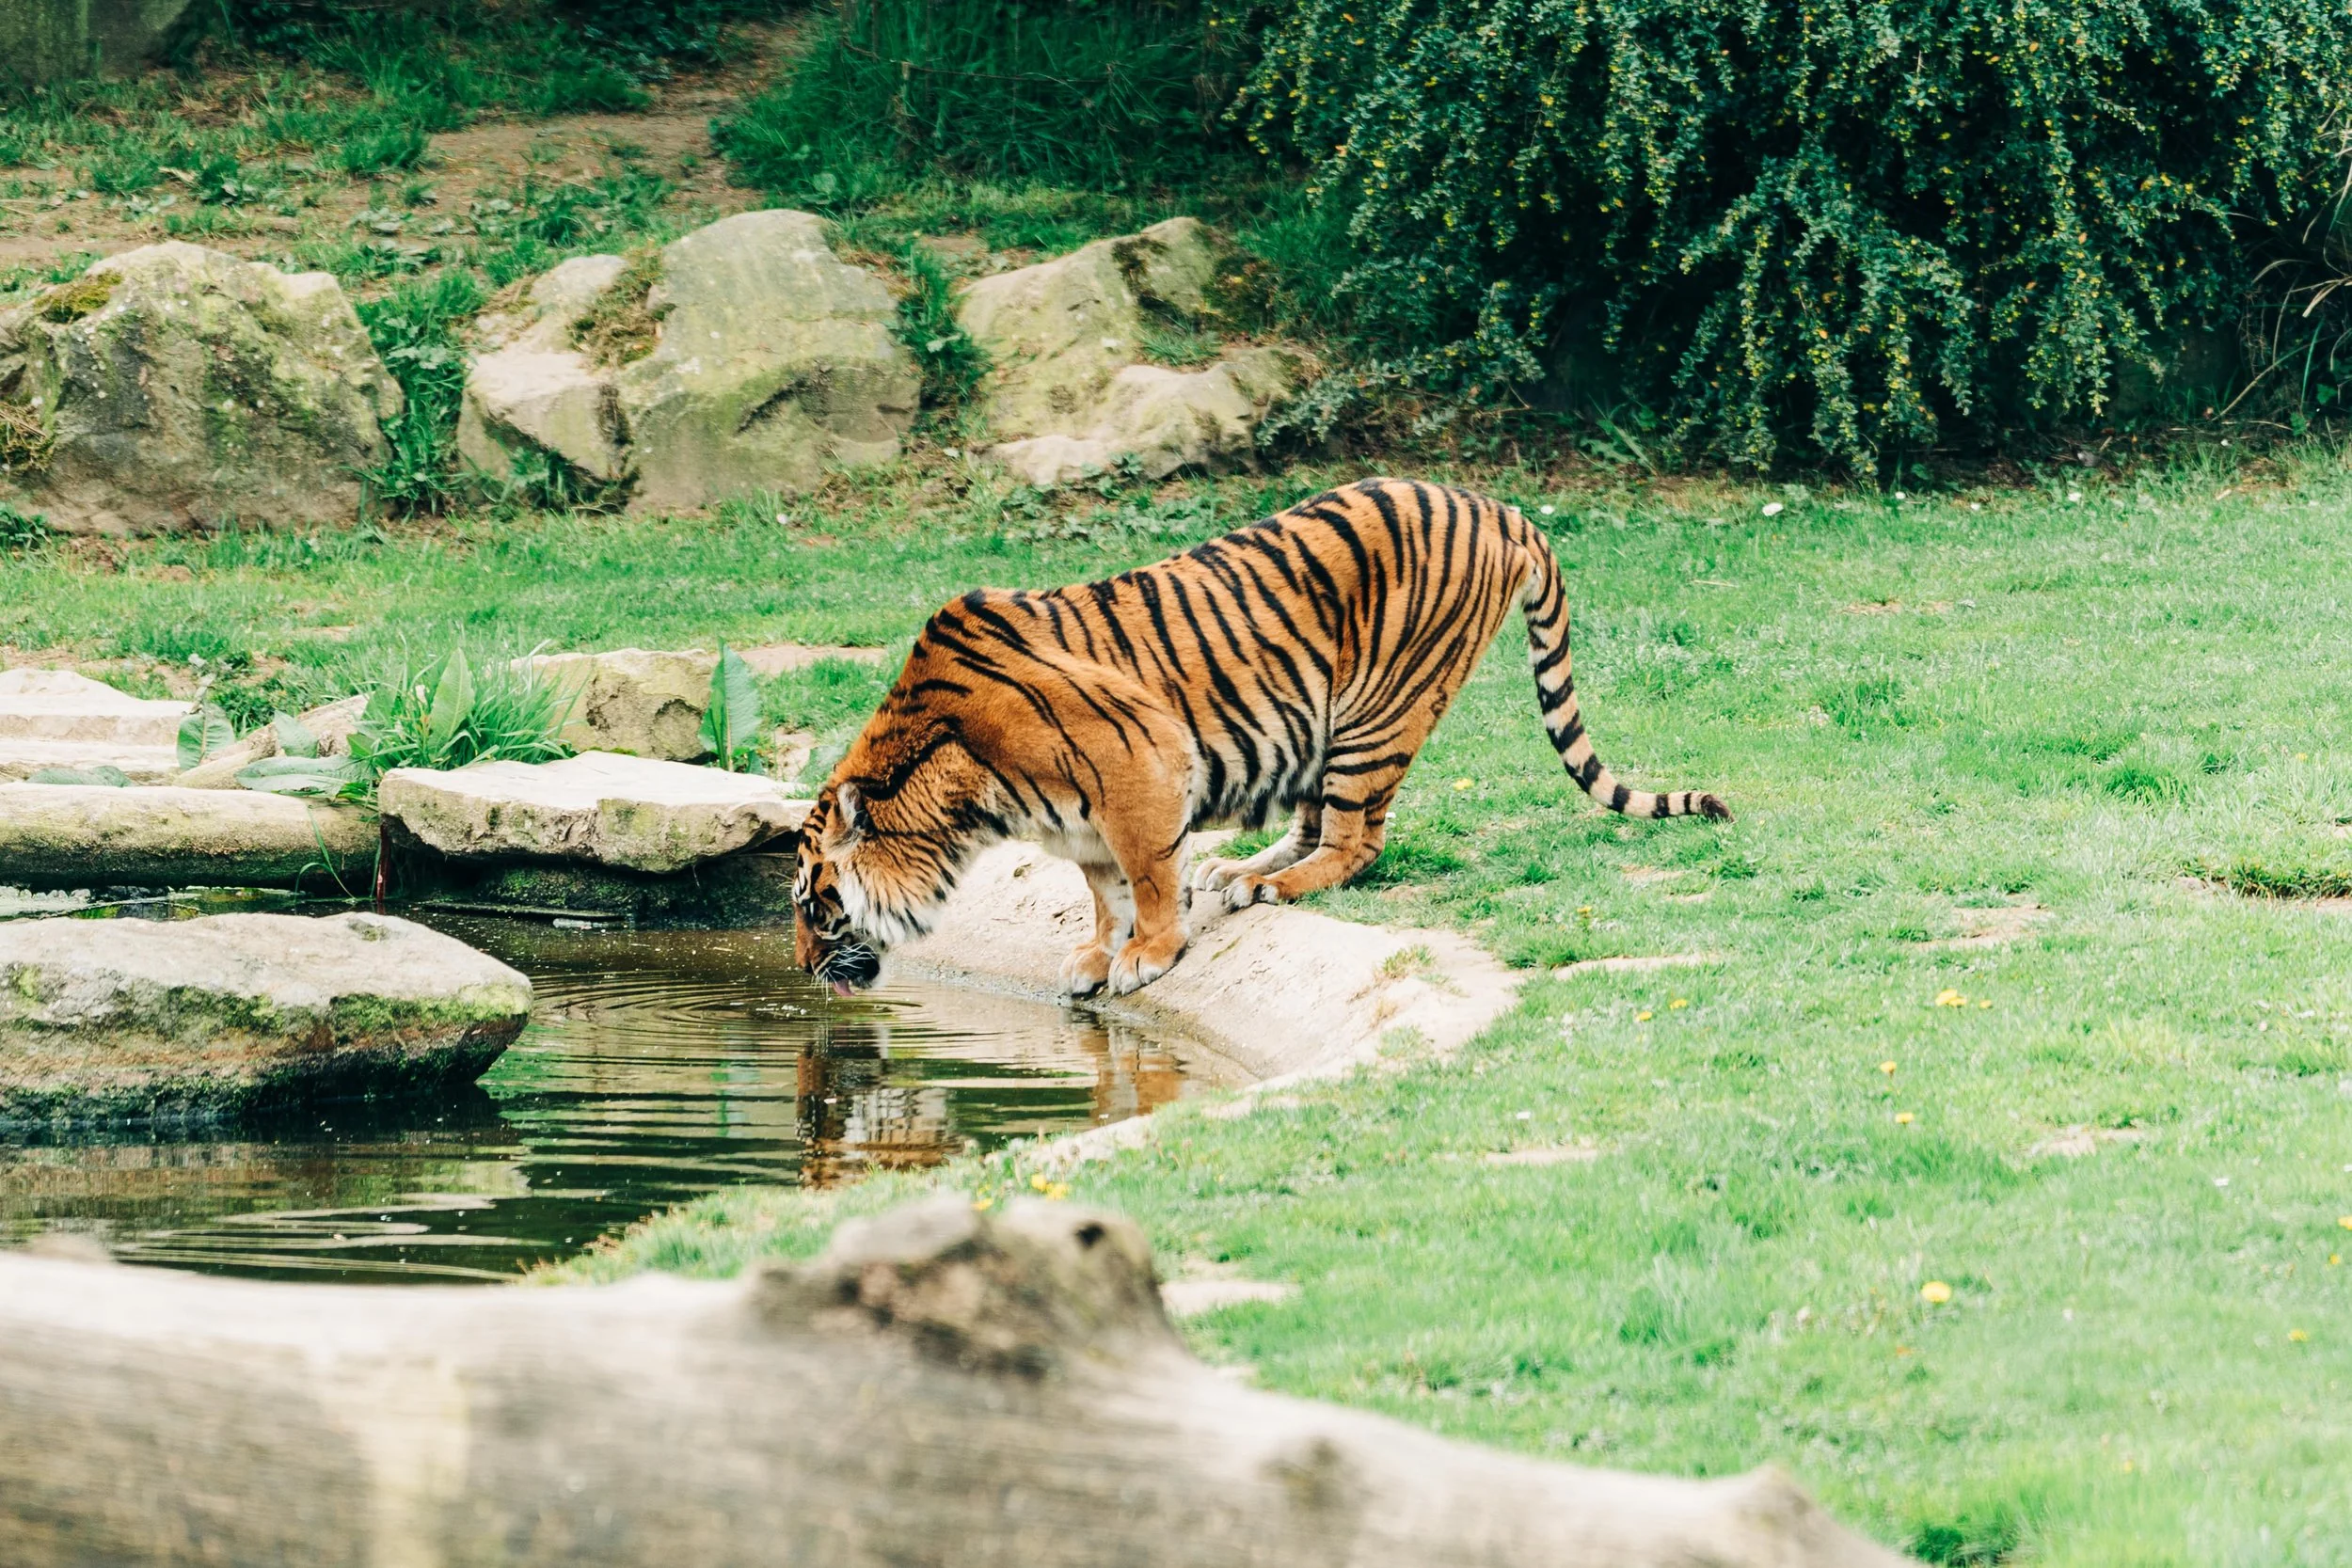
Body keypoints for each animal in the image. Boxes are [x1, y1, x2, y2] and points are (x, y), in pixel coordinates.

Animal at [791, 477, 1730, 999]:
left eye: (815, 905)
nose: (798, 969)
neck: (961, 798)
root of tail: (1498, 507)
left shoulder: (1142, 760)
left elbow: (1147, 876)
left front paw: (1147, 956)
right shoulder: (1084, 817)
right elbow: (1105, 889)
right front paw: (1097, 954)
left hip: (1373, 712)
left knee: (1357, 840)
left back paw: (1275, 885)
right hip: (1317, 725)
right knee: (1313, 824)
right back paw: (1241, 871)